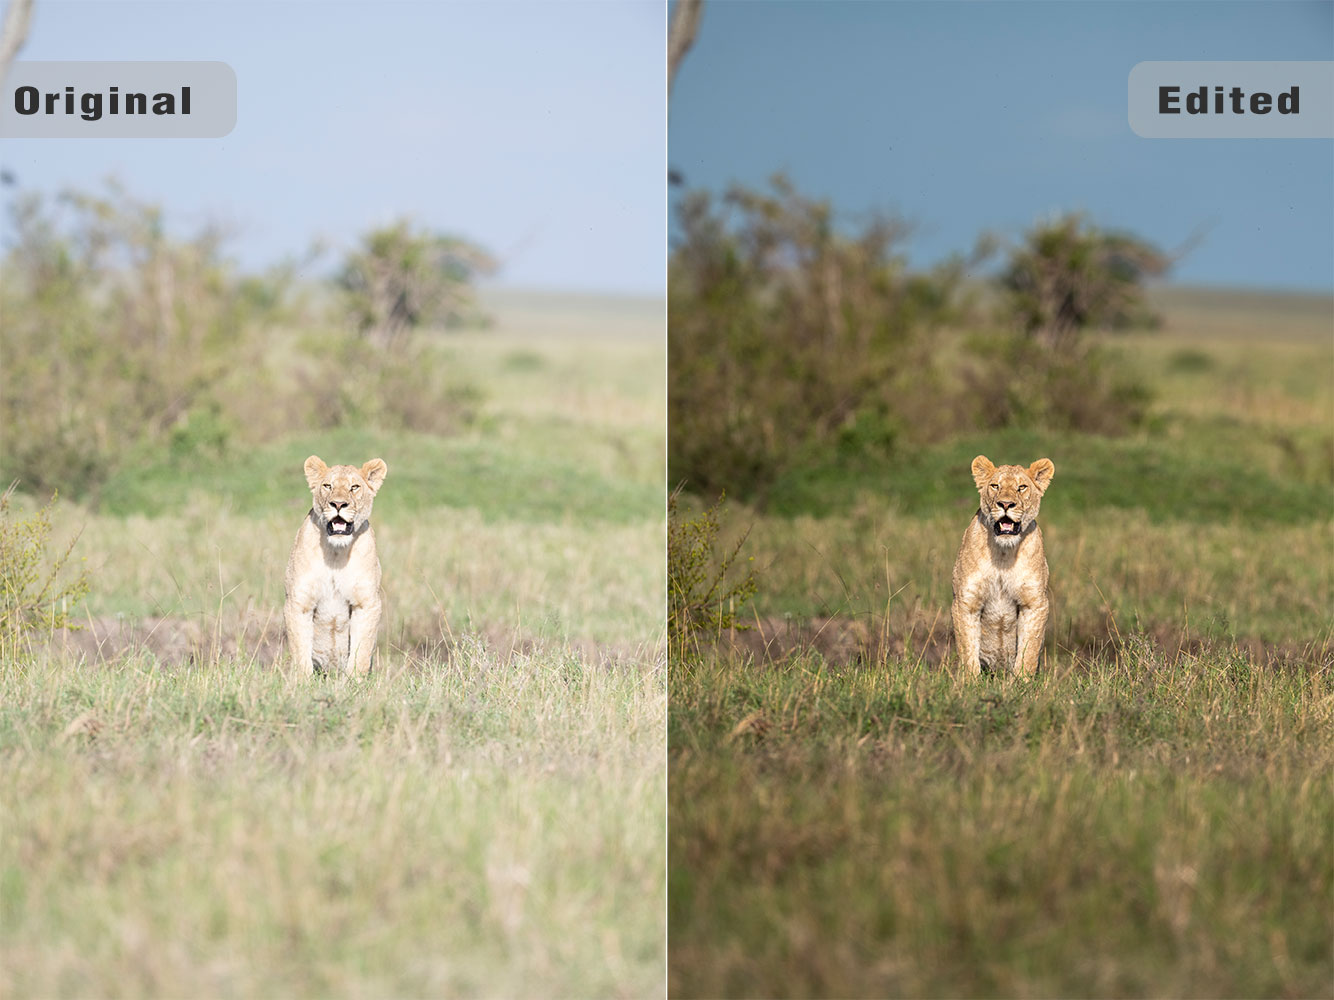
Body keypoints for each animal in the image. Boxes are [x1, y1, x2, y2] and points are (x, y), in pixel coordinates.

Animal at [281, 456, 386, 677]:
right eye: (327, 486)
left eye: (354, 487)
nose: (338, 504)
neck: (336, 554)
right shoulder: (298, 602)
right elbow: (301, 654)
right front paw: (302, 683)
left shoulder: (367, 603)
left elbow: (361, 653)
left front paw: (354, 682)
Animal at [955, 456, 1056, 677]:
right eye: (995, 486)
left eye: (1021, 487)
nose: (1006, 504)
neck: (1003, 554)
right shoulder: (966, 601)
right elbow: (968, 650)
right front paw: (969, 682)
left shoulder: (1034, 603)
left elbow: (1029, 651)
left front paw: (1021, 682)